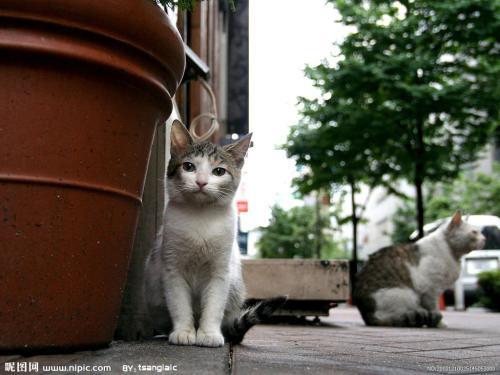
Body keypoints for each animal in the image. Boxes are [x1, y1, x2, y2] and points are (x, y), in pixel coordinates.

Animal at [145, 120, 286, 346]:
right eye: (189, 167)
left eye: (219, 171)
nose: (201, 181)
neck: (201, 215)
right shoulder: (172, 268)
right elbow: (179, 304)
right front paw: (183, 331)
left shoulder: (220, 271)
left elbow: (213, 306)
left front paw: (209, 334)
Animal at [354, 213, 486, 328]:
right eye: (474, 232)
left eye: (480, 232)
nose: (485, 239)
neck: (452, 254)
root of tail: (366, 315)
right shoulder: (431, 290)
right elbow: (434, 308)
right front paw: (439, 323)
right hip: (407, 294)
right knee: (388, 317)